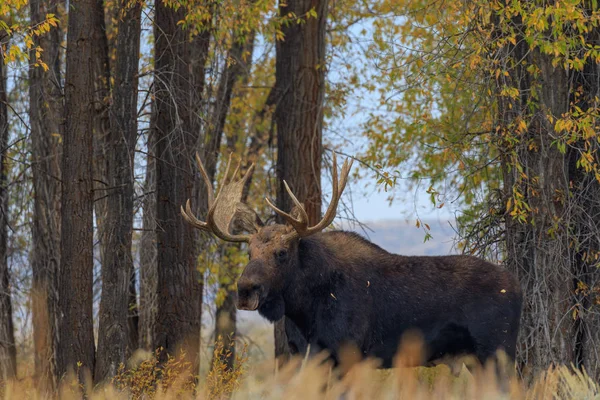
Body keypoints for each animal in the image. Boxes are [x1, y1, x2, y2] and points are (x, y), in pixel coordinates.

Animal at [180, 152, 524, 372]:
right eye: (249, 252)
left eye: (282, 252)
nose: (245, 290)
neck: (304, 310)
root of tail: (519, 287)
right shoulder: (305, 356)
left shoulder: (348, 353)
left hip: (497, 350)